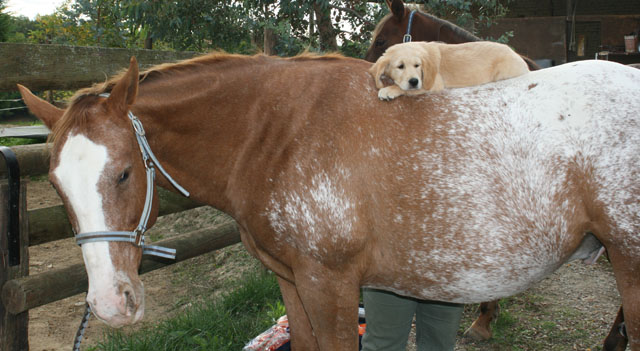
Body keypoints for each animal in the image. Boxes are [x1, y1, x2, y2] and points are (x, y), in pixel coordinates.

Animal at [17, 53, 640, 351]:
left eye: (124, 173)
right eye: (56, 186)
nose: (110, 303)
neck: (279, 133)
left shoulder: (331, 283)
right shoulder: (293, 282)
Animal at [370, 42, 528, 102]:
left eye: (417, 65)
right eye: (400, 66)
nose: (414, 81)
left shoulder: (433, 83)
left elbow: (407, 89)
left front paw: (389, 90)